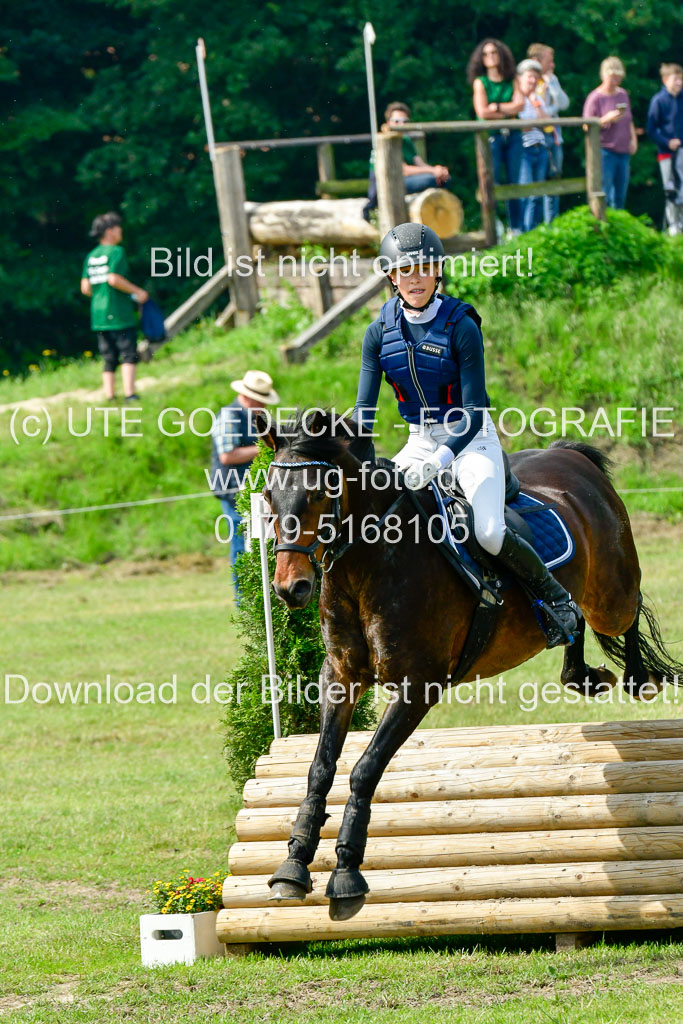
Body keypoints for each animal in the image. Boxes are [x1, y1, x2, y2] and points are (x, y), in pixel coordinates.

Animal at [257, 409, 682, 922]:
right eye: (267, 496)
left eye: (320, 494)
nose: (290, 588)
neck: (371, 562)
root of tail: (570, 457)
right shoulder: (339, 676)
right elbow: (320, 767)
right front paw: (293, 864)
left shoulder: (419, 684)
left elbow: (365, 768)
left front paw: (346, 873)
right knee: (574, 617)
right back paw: (582, 674)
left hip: (610, 592)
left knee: (627, 608)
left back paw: (640, 678)